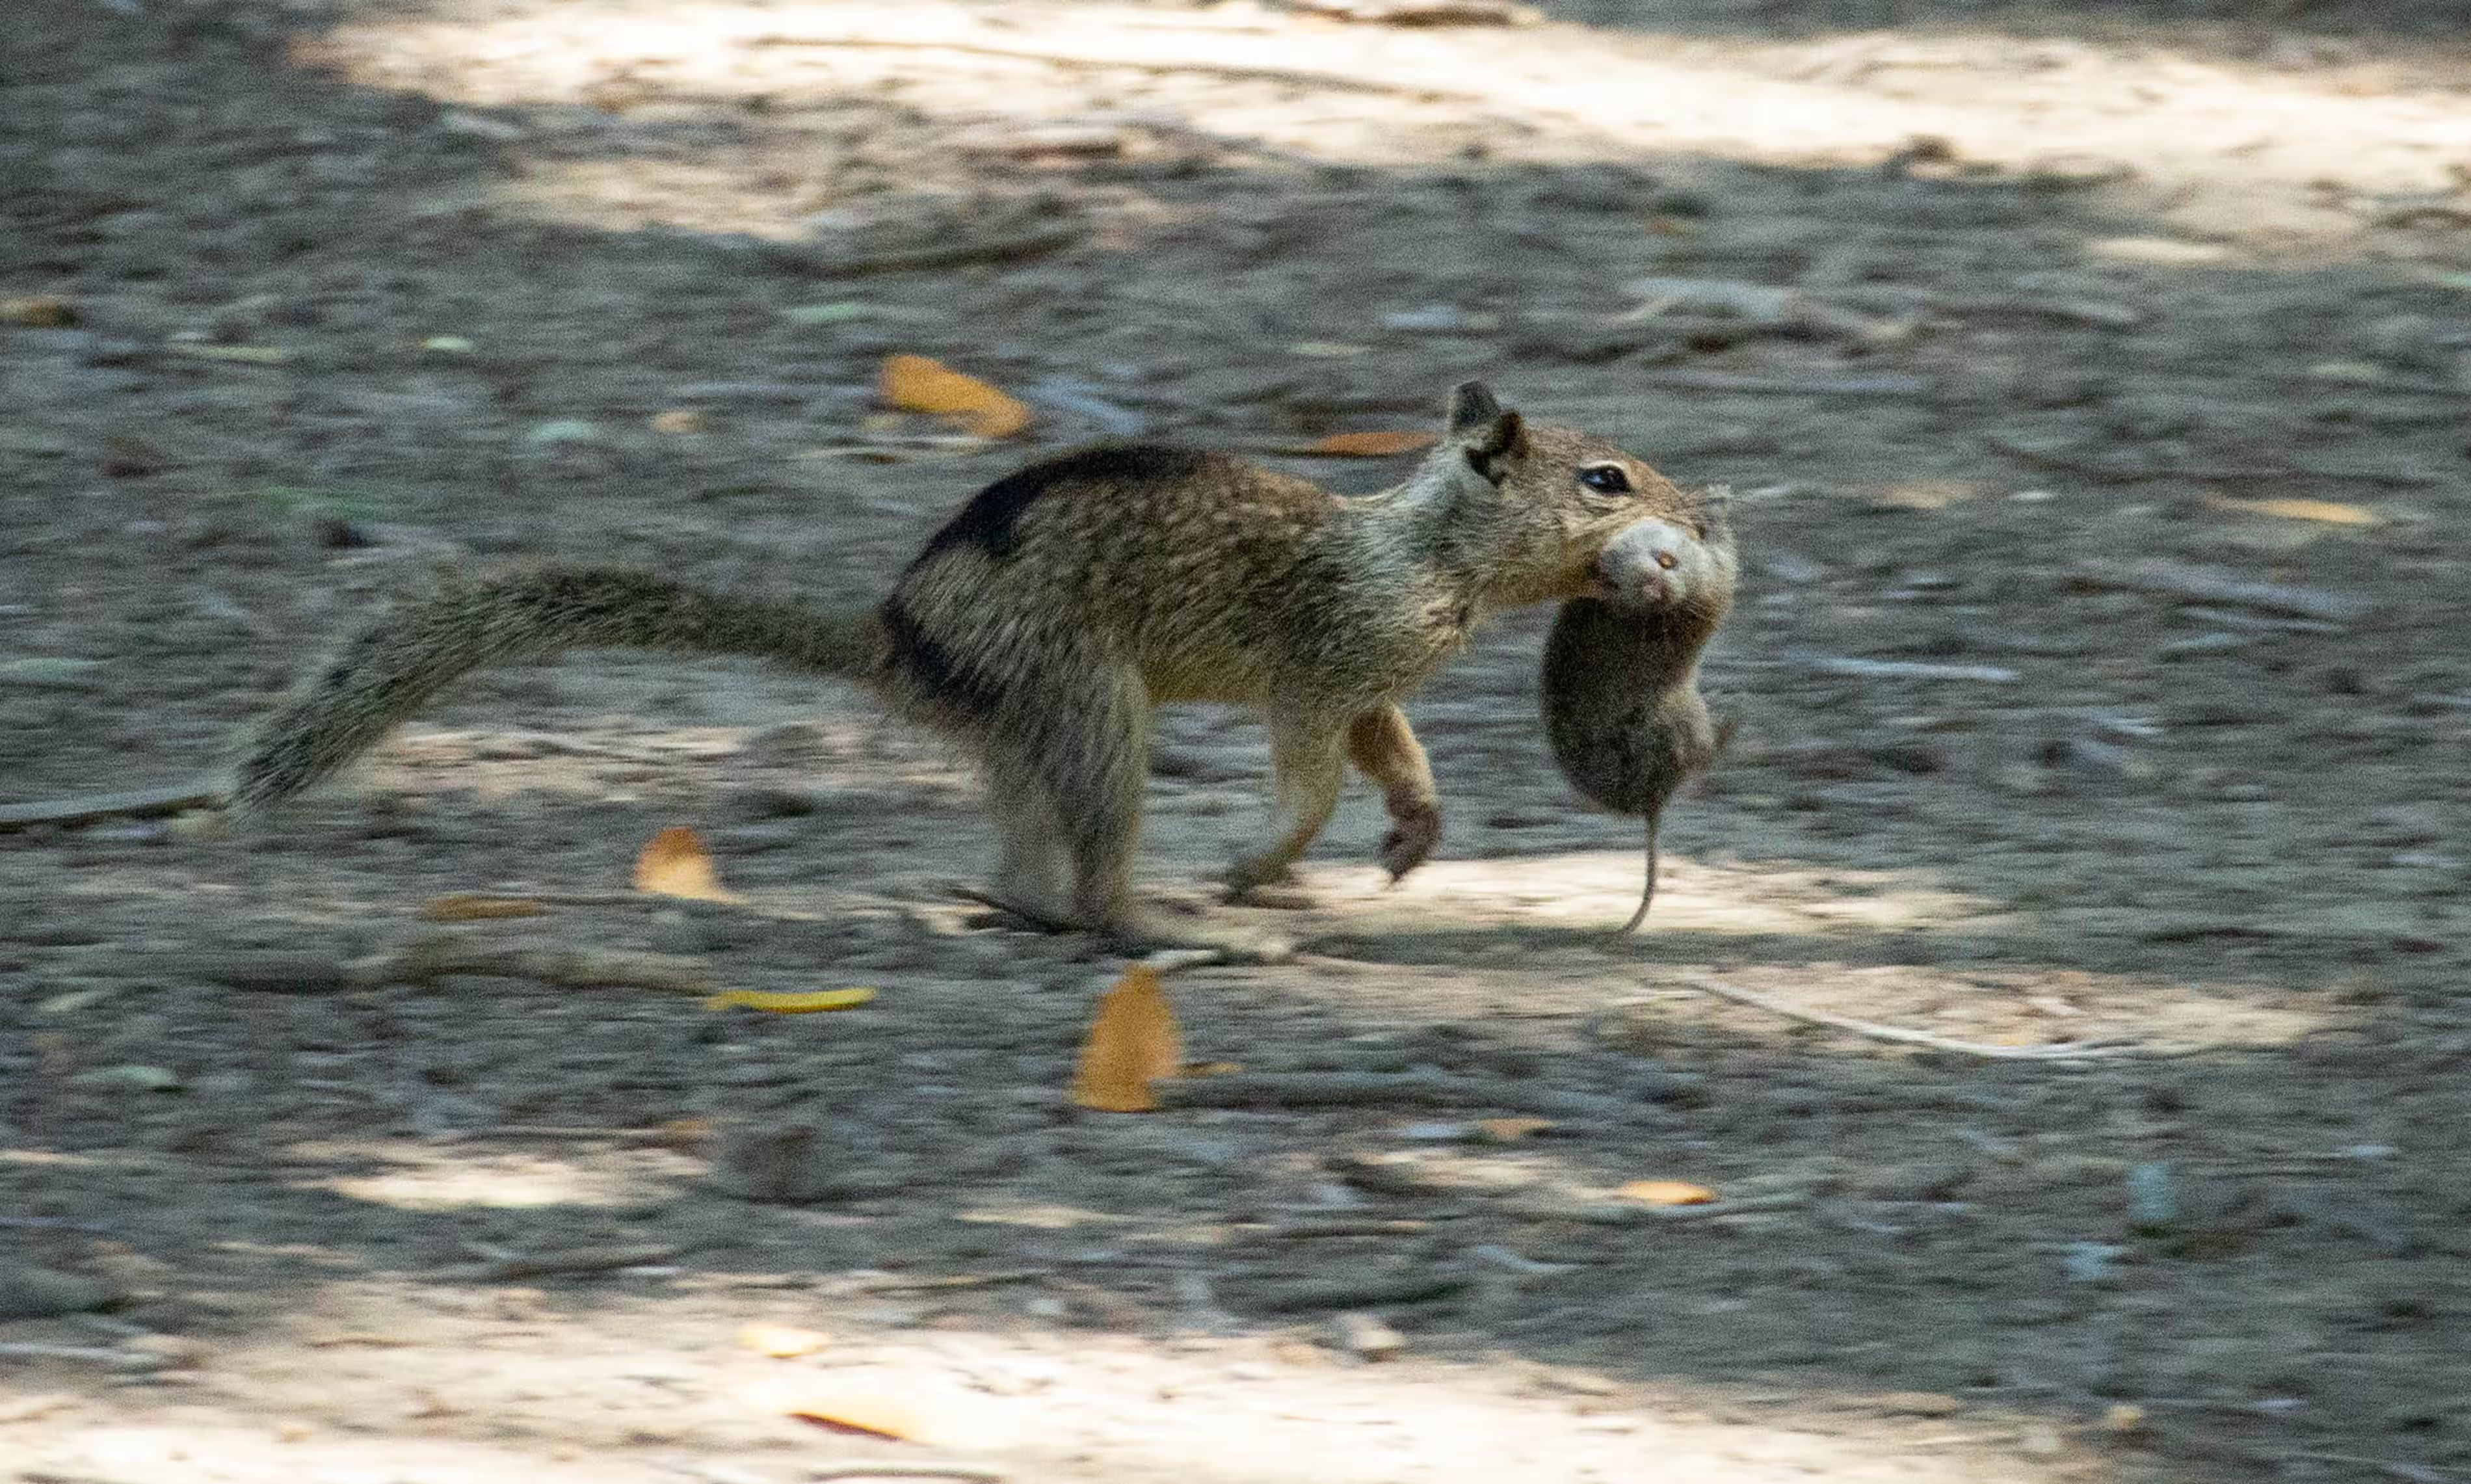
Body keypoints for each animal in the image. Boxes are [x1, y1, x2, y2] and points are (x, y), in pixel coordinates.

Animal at [241, 382, 1730, 962]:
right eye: (1604, 480)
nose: (1704, 513)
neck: (1426, 549)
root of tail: (894, 635)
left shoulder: (1374, 681)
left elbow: (1392, 753)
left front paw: (1412, 835)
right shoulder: (1324, 665)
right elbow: (1311, 773)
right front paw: (1259, 862)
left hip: (1030, 727)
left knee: (1024, 865)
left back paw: (1021, 901)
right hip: (1089, 701)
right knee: (1097, 878)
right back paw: (1174, 921)